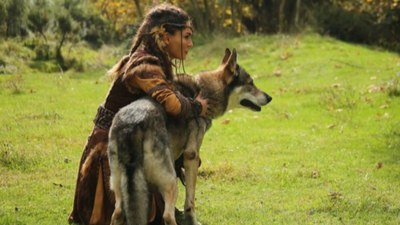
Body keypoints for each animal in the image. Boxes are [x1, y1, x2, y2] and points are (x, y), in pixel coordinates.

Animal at [108, 48, 274, 224]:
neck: (205, 94)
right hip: (170, 183)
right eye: (251, 83)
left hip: (121, 188)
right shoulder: (191, 157)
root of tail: (132, 124)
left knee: (117, 213)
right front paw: (193, 220)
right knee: (167, 215)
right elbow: (190, 200)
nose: (269, 97)